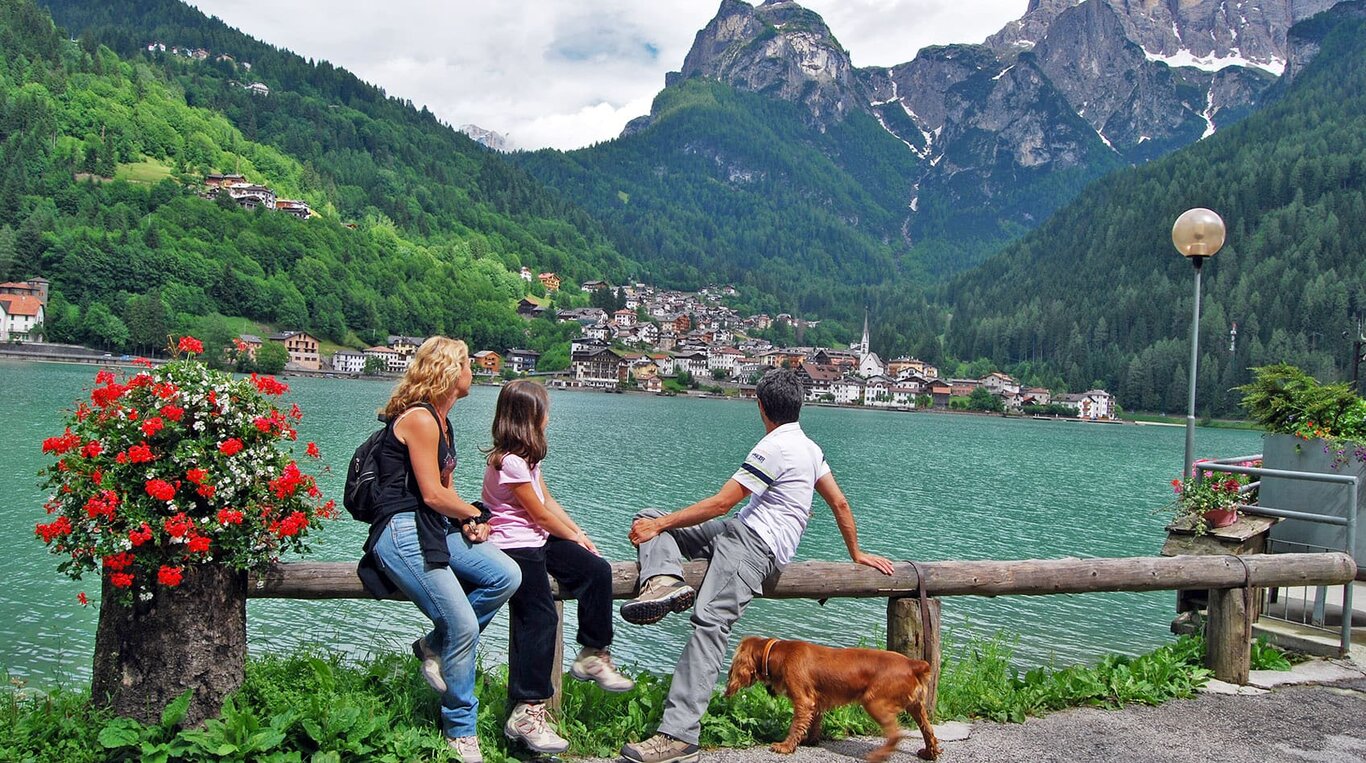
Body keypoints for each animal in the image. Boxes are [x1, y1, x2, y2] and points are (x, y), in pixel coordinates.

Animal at [726, 636, 939, 758]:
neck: (778, 652)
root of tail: (913, 664)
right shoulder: (816, 701)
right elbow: (813, 723)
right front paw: (810, 741)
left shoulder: (803, 700)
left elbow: (796, 725)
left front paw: (785, 746)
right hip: (916, 706)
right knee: (928, 731)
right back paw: (929, 753)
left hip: (874, 702)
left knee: (895, 735)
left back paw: (878, 755)